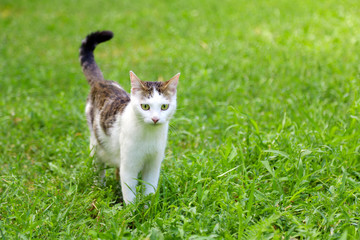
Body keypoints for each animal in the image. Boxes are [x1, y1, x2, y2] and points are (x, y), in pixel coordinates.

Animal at [79, 30, 180, 204]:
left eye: (164, 106)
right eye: (145, 106)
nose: (155, 119)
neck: (148, 136)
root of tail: (101, 82)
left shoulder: (153, 164)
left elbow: (149, 190)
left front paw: (148, 208)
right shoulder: (129, 166)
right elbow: (130, 195)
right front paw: (131, 211)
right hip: (96, 146)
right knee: (99, 167)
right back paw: (99, 187)